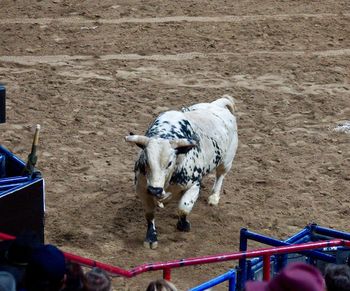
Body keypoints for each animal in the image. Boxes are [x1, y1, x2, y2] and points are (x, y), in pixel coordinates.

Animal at [125, 95, 238, 249]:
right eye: (146, 160)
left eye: (169, 163)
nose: (154, 190)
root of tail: (217, 105)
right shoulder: (142, 190)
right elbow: (149, 215)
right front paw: (151, 238)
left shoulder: (193, 185)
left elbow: (183, 208)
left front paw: (183, 225)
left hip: (226, 160)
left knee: (220, 175)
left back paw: (214, 197)